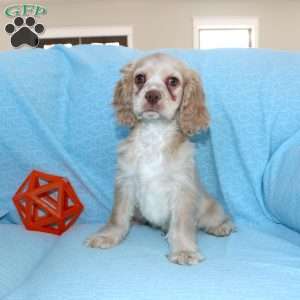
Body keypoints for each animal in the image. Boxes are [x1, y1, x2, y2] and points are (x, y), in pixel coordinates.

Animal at [85, 53, 233, 264]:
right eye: (140, 78)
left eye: (173, 81)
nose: (152, 95)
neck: (155, 133)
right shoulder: (126, 181)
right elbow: (118, 215)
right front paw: (108, 236)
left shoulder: (182, 188)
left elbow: (181, 225)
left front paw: (183, 250)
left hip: (209, 210)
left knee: (218, 217)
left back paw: (222, 226)